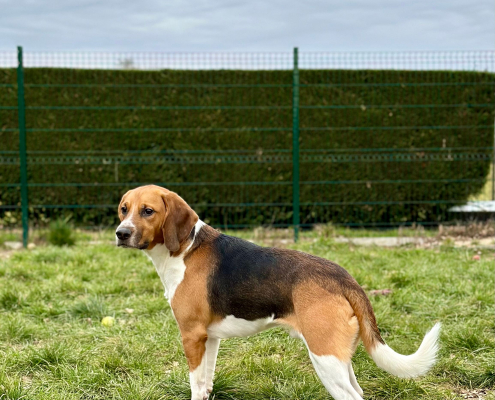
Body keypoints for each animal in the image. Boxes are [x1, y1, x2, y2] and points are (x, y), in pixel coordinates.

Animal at [116, 186, 442, 400]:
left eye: (148, 211)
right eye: (123, 209)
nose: (121, 233)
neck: (184, 249)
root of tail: (343, 278)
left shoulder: (192, 336)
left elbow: (195, 384)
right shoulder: (209, 338)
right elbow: (206, 383)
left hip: (325, 359)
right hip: (339, 360)